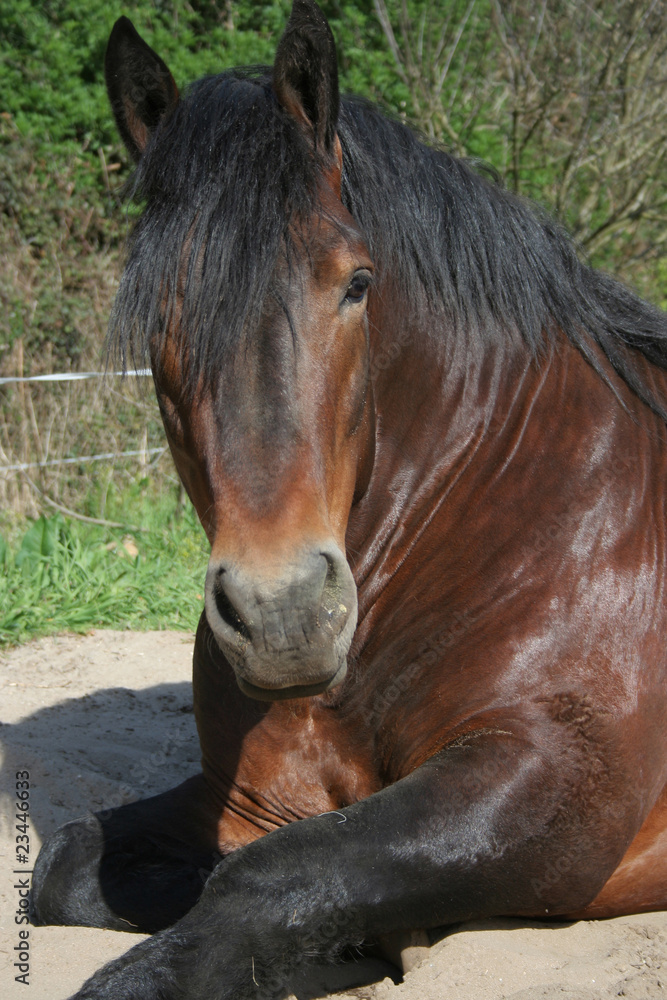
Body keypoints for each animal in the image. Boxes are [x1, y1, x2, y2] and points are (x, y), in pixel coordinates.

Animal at [31, 2, 667, 997]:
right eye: (156, 313)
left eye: (356, 284)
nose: (284, 615)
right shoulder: (256, 794)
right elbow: (74, 863)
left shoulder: (555, 777)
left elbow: (267, 880)